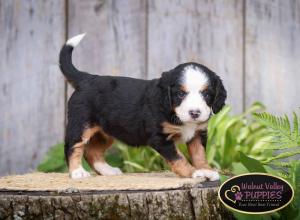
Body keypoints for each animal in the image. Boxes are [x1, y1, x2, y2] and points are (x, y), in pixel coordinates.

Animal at [59, 33, 226, 180]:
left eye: (206, 94)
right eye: (180, 94)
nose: (195, 113)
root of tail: (87, 78)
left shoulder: (198, 133)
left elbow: (199, 154)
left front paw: (206, 170)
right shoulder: (160, 137)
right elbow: (178, 158)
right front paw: (194, 173)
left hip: (106, 131)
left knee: (92, 151)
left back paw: (108, 170)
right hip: (81, 124)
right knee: (73, 146)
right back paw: (77, 172)